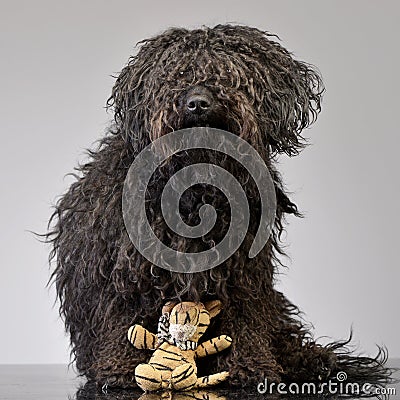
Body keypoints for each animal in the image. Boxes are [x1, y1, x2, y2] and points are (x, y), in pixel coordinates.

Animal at [46, 25, 390, 390]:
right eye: (176, 74)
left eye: (229, 75)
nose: (197, 103)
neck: (197, 187)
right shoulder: (127, 268)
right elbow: (125, 312)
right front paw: (120, 368)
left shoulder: (241, 273)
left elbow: (242, 317)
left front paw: (251, 365)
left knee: (282, 335)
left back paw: (313, 360)